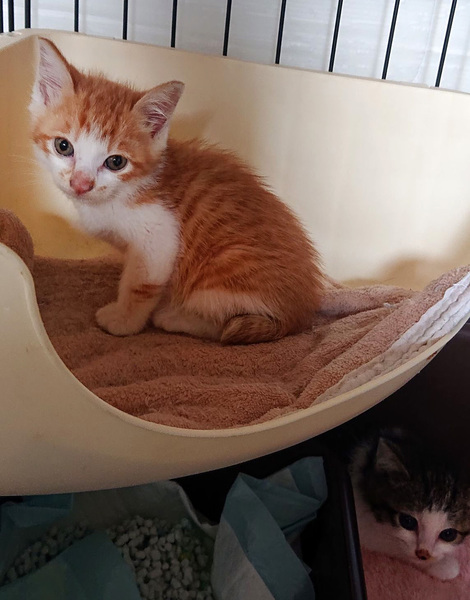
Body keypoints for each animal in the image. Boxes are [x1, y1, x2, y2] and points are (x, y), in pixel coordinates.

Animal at [29, 38, 323, 345]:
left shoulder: (158, 238)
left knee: (225, 324)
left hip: (221, 281)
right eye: (63, 146)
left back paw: (174, 317)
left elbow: (141, 285)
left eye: (116, 162)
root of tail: (300, 316)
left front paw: (124, 320)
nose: (81, 184)